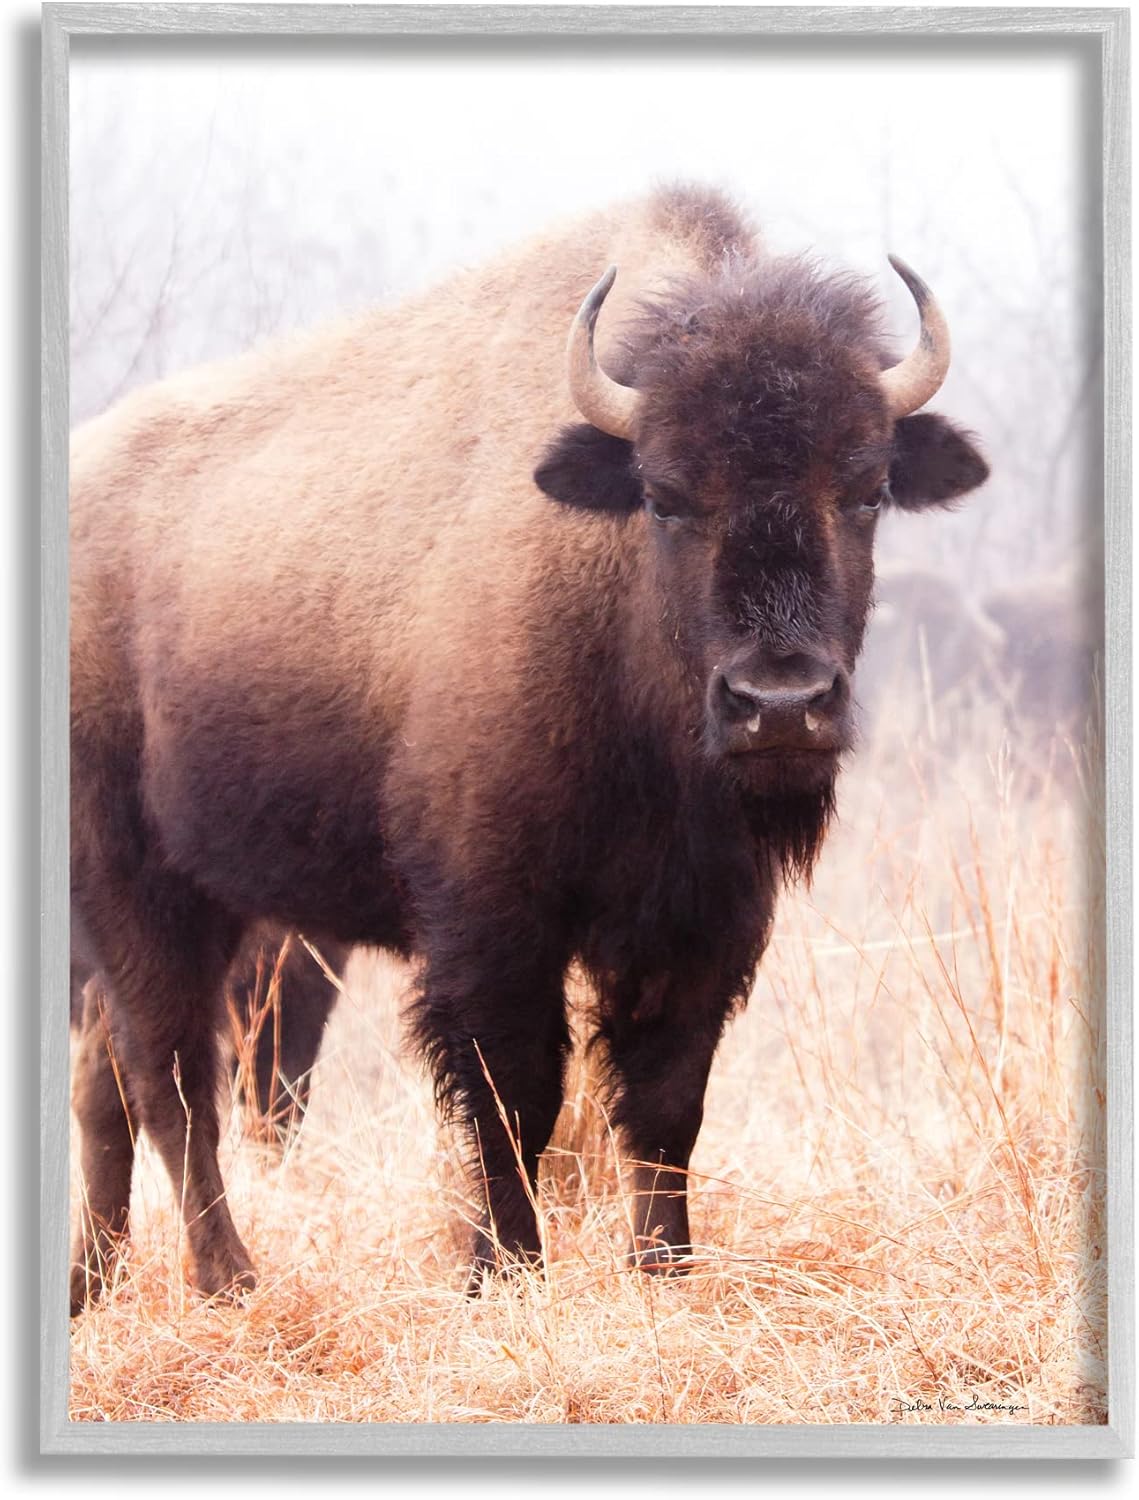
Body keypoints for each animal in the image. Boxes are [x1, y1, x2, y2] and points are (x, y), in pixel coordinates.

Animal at [69, 185, 988, 1313]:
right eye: (665, 495)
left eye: (863, 491)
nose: (780, 704)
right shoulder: (491, 917)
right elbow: (514, 1095)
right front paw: (502, 1270)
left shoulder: (703, 919)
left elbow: (666, 1098)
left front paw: (663, 1269)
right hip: (138, 888)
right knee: (171, 1079)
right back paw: (227, 1279)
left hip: (207, 900)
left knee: (109, 1081)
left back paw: (95, 1283)